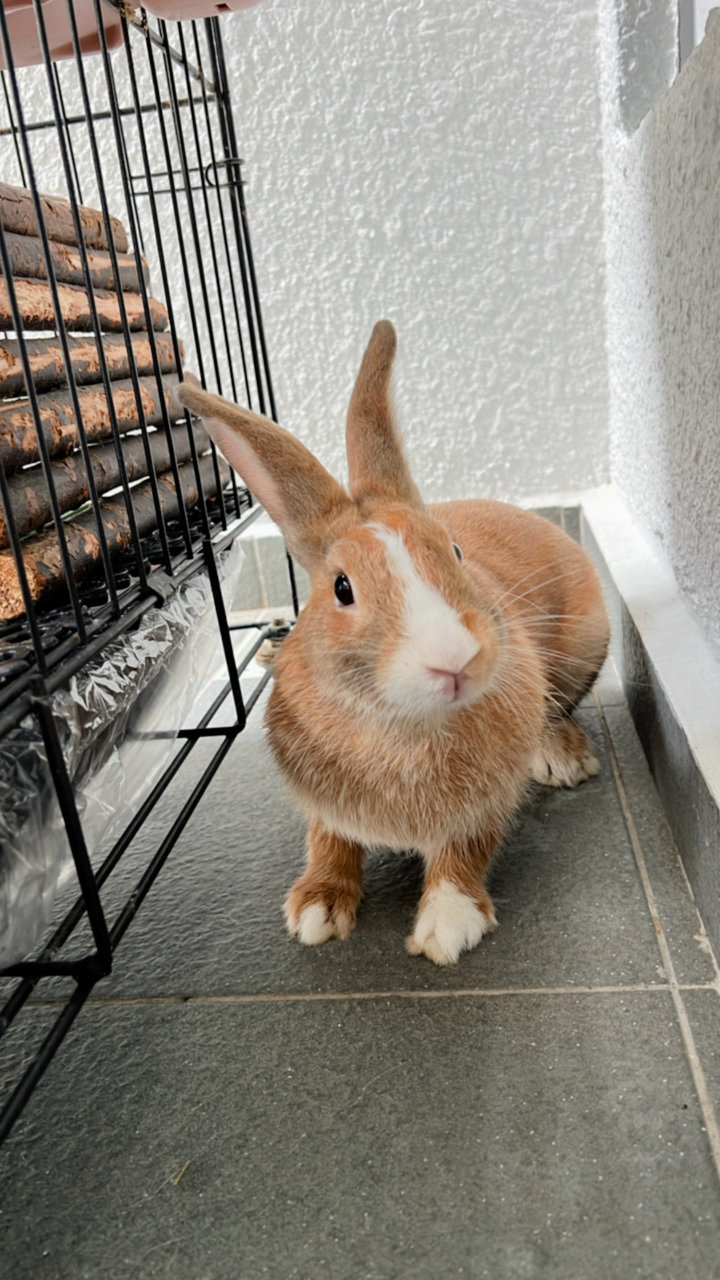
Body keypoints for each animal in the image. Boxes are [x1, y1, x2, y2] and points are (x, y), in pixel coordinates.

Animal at [174, 322, 604, 967]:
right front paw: (316, 909)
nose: (455, 659)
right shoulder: (322, 803)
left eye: (454, 551)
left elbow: (464, 853)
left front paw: (448, 926)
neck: (400, 723)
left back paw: (563, 758)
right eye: (341, 588)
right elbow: (326, 841)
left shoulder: (482, 807)